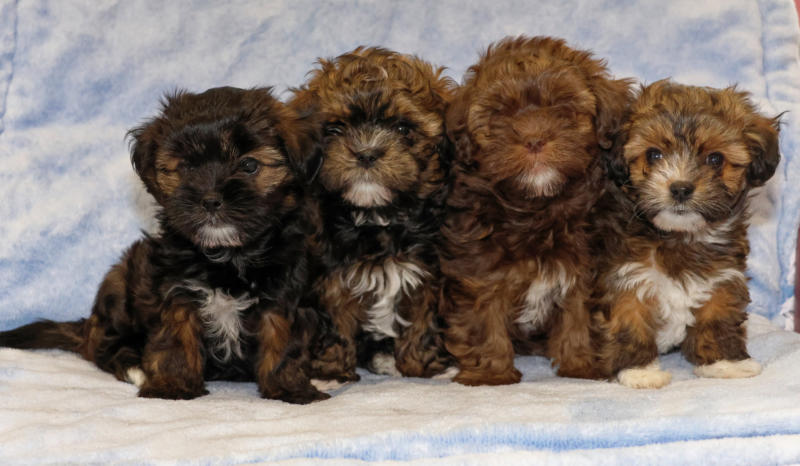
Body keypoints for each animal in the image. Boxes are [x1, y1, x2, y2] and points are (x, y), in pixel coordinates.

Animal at [0, 87, 331, 404]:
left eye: (249, 165)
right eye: (185, 168)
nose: (211, 199)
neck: (228, 255)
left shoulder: (284, 293)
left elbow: (283, 340)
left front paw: (289, 388)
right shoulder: (175, 290)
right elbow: (175, 338)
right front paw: (173, 385)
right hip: (121, 283)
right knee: (101, 343)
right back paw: (133, 366)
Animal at [290, 47, 455, 380]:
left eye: (403, 129)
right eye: (336, 129)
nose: (366, 153)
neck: (377, 217)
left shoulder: (426, 274)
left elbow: (423, 321)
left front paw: (422, 365)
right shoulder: (330, 277)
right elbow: (333, 323)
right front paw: (331, 372)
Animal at [440, 36, 632, 385]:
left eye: (563, 108)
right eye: (500, 114)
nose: (534, 140)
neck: (538, 207)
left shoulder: (587, 268)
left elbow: (581, 315)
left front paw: (582, 365)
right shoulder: (478, 265)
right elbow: (482, 315)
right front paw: (490, 374)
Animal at [591, 79, 780, 388]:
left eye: (715, 159)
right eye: (653, 155)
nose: (680, 188)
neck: (678, 237)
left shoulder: (721, 278)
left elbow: (717, 319)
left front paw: (724, 362)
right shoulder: (625, 276)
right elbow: (629, 321)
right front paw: (639, 371)